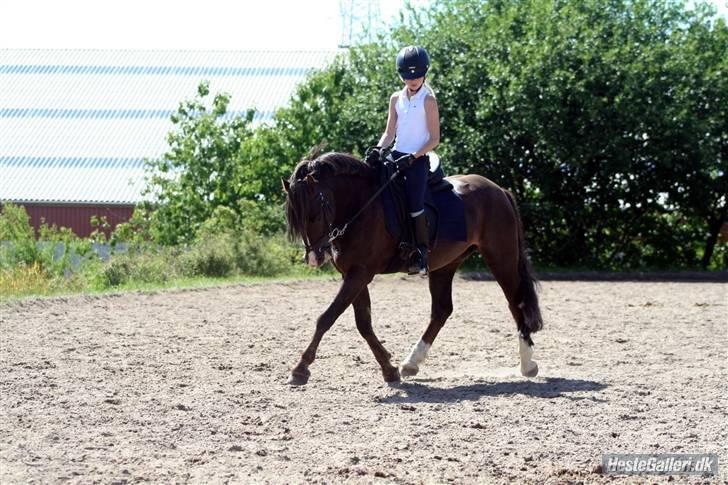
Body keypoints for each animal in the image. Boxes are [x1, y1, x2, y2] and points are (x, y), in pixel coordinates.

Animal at [282, 152, 543, 385]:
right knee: (441, 311)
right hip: (446, 264)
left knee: (516, 302)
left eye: (314, 213)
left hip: (500, 257)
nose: (314, 257)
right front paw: (389, 368)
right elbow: (363, 323)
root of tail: (499, 190)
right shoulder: (354, 274)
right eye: (294, 217)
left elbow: (327, 318)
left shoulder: (360, 273)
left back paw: (527, 364)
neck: (361, 205)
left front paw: (300, 369)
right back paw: (411, 363)